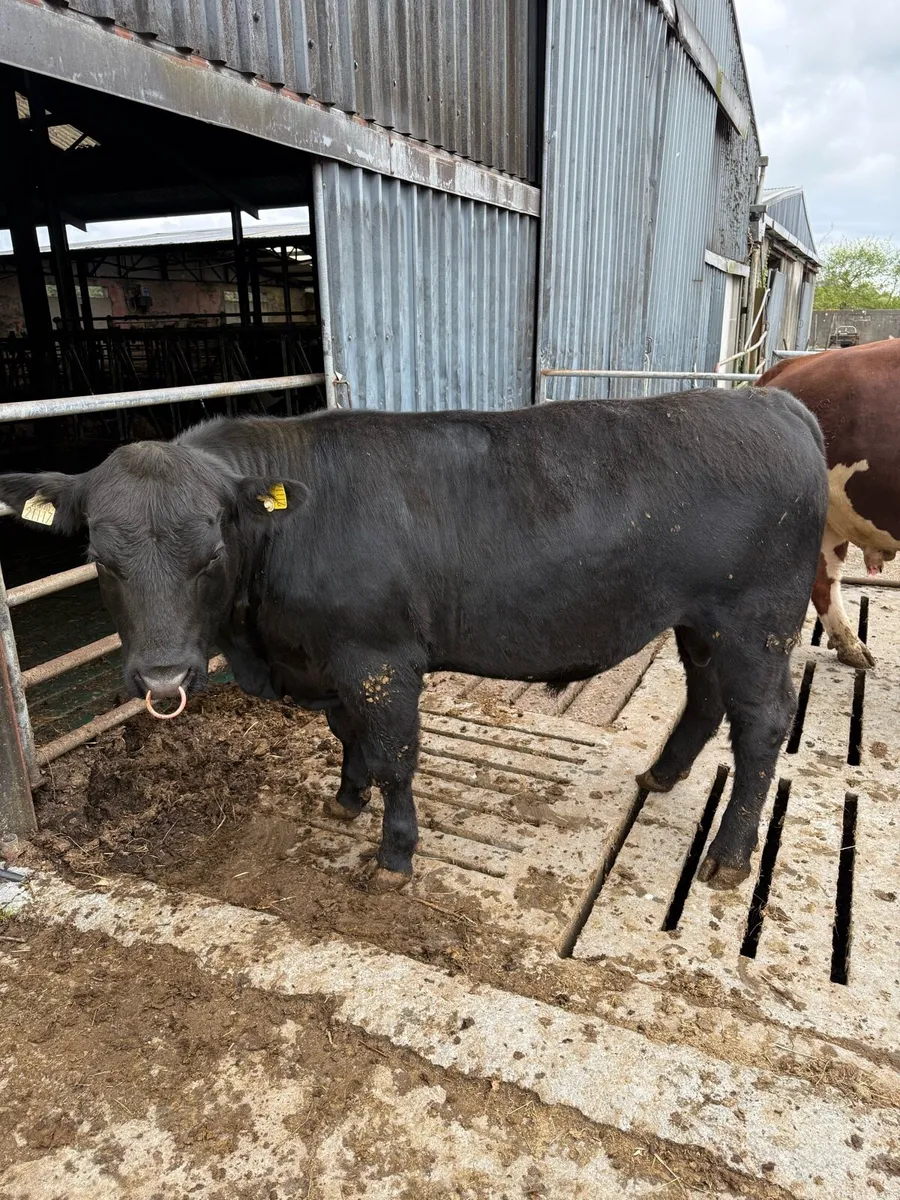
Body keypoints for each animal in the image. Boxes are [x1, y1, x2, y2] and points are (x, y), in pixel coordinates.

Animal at [0, 389, 828, 892]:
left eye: (210, 552)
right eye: (100, 559)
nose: (162, 679)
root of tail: (771, 400)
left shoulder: (379, 659)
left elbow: (396, 754)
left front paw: (394, 855)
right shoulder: (331, 661)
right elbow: (349, 736)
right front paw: (346, 797)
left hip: (758, 621)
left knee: (762, 726)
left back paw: (729, 856)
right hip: (700, 622)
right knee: (706, 696)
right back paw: (661, 775)